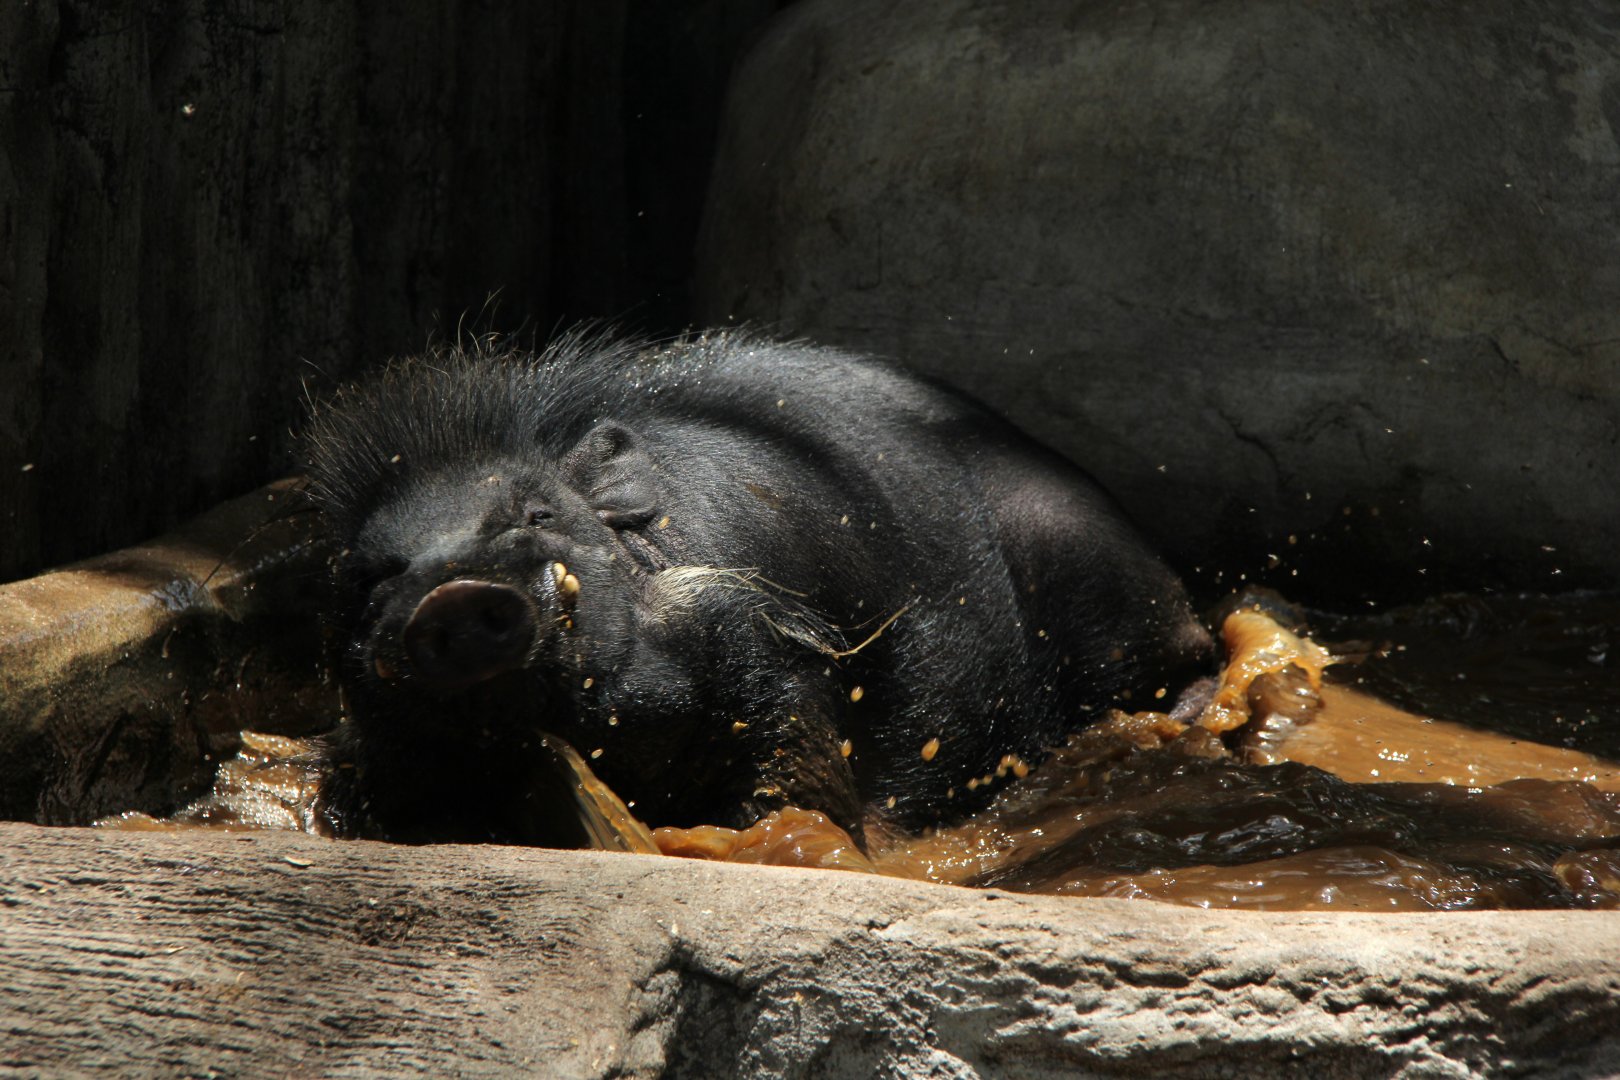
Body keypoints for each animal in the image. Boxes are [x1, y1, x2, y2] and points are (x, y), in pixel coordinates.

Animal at [303, 330, 1214, 847]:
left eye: (535, 514)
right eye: (370, 579)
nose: (451, 593)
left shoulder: (761, 641)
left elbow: (798, 786)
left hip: (1088, 562)